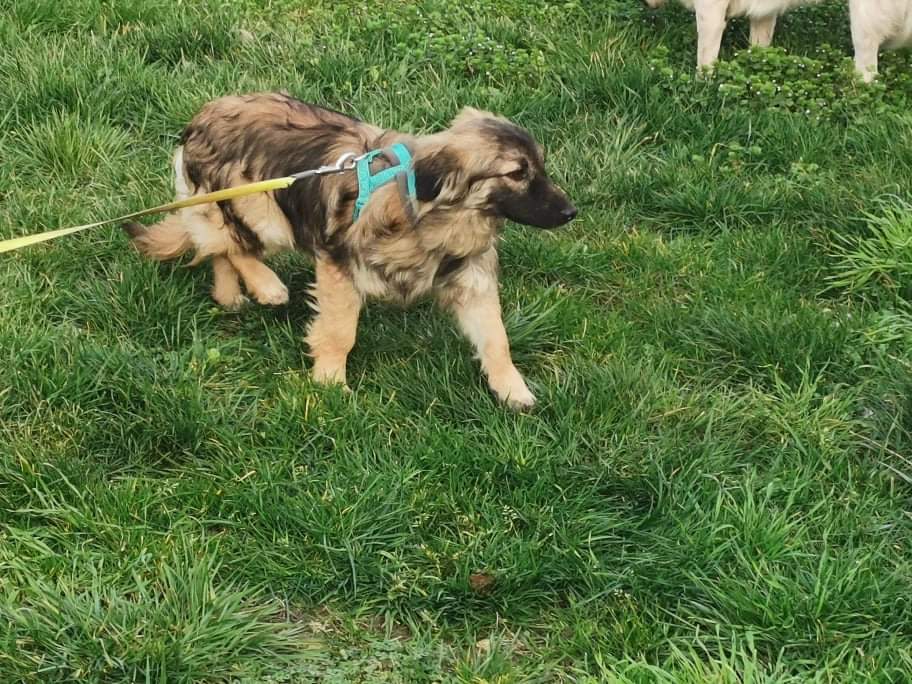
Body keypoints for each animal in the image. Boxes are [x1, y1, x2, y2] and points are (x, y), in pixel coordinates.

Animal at [126, 93, 576, 408]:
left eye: (540, 167)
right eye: (516, 173)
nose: (572, 212)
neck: (431, 212)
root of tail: (200, 118)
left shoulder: (471, 278)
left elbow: (496, 338)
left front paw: (511, 388)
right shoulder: (338, 264)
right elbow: (341, 331)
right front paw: (330, 381)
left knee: (217, 244)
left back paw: (230, 294)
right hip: (262, 204)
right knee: (230, 244)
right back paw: (266, 286)